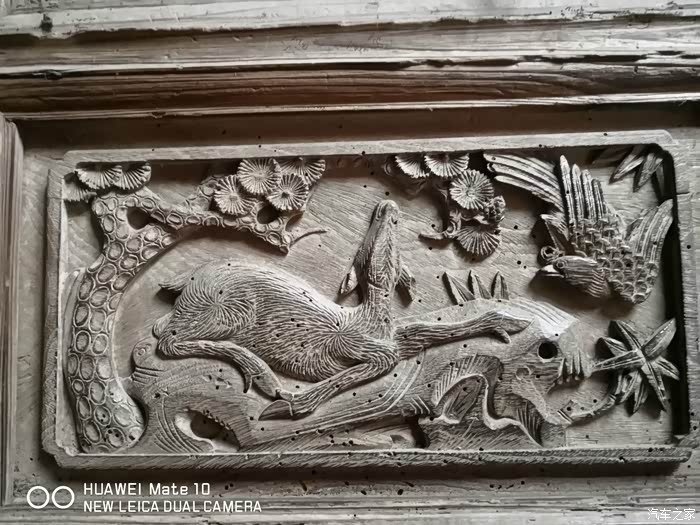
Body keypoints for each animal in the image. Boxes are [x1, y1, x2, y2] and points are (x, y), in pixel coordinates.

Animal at [154, 200, 531, 420]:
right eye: (370, 240)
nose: (387, 206)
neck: (371, 318)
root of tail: (187, 280)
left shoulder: (398, 338)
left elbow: (427, 331)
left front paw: (507, 322)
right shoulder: (353, 346)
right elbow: (383, 361)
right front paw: (289, 404)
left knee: (162, 329)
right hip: (227, 311)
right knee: (168, 342)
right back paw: (261, 373)